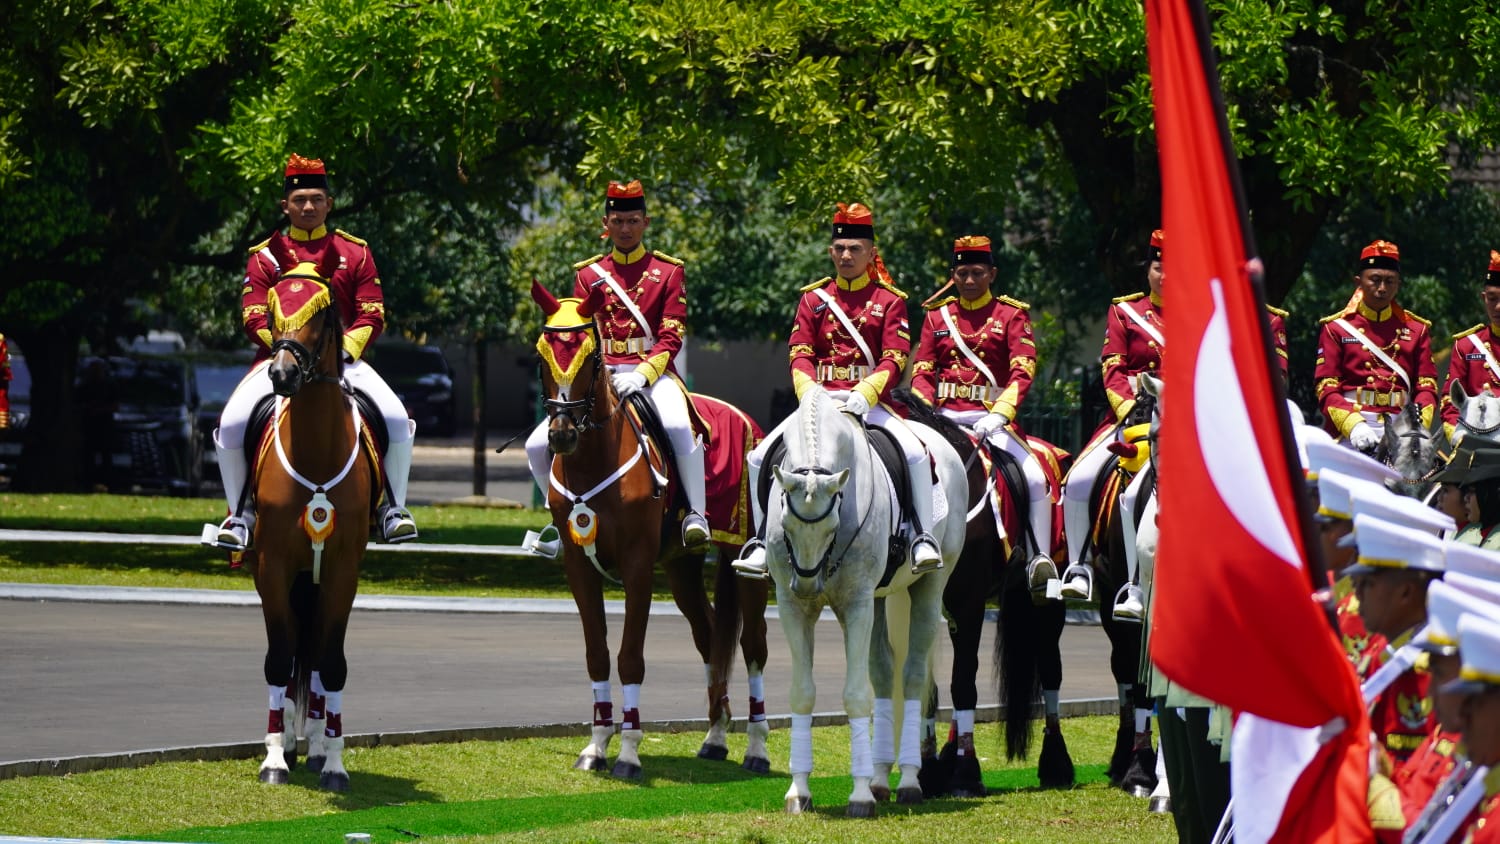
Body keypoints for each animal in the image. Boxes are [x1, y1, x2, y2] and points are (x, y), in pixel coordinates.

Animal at [531, 281, 768, 779]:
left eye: (592, 356)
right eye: (541, 355)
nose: (561, 435)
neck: (594, 459)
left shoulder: (638, 568)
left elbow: (630, 659)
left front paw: (628, 753)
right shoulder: (578, 567)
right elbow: (598, 655)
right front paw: (596, 745)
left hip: (745, 563)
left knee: (753, 645)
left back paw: (757, 748)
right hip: (680, 567)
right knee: (710, 637)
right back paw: (716, 736)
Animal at [768, 389, 966, 821]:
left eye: (833, 525)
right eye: (786, 523)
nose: (808, 585)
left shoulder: (856, 604)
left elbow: (856, 696)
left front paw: (858, 796)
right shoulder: (792, 607)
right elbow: (801, 693)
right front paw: (798, 791)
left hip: (928, 588)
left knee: (912, 677)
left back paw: (907, 781)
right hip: (877, 600)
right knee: (883, 673)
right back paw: (878, 778)